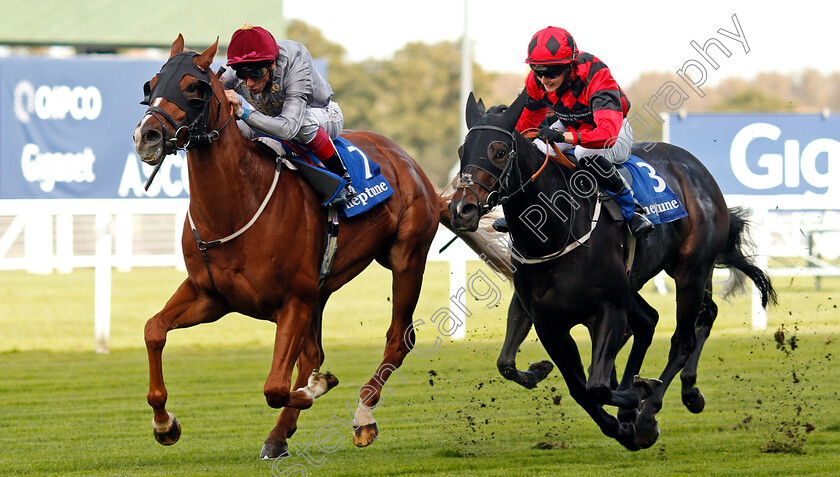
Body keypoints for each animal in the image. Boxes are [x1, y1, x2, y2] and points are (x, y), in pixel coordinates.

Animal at [135, 35, 436, 460]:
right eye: (152, 84)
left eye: (193, 87)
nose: (147, 136)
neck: (238, 204)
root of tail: (407, 159)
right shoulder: (210, 295)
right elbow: (154, 330)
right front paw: (165, 424)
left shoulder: (292, 301)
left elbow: (276, 387)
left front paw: (318, 386)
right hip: (321, 289)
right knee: (313, 352)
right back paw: (280, 433)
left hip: (407, 258)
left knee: (398, 337)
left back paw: (362, 414)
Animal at [446, 90, 776, 450]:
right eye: (462, 151)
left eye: (500, 151)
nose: (461, 209)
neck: (558, 228)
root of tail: (697, 170)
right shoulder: (547, 321)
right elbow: (564, 383)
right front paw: (546, 374)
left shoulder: (609, 309)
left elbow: (598, 386)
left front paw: (636, 399)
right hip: (645, 282)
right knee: (663, 320)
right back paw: (683, 392)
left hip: (691, 271)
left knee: (682, 338)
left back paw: (649, 414)